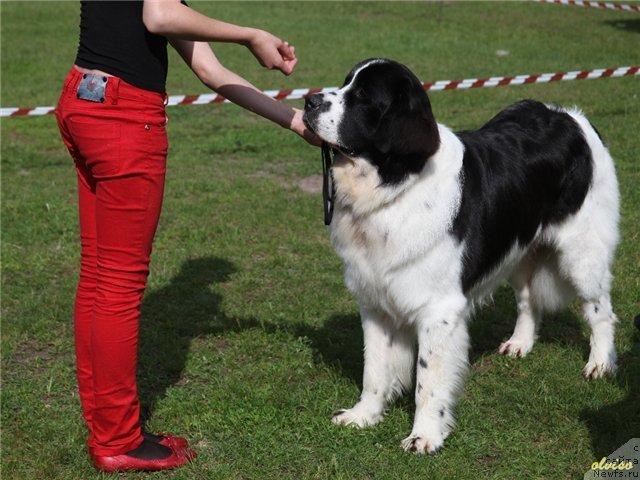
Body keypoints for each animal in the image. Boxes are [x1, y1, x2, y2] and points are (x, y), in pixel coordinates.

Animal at [304, 59, 620, 454]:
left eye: (363, 96)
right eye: (346, 84)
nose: (309, 101)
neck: (395, 185)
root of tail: (570, 117)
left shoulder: (438, 311)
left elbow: (428, 380)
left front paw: (424, 435)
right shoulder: (375, 301)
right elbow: (374, 367)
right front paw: (364, 415)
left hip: (582, 251)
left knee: (600, 311)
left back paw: (600, 364)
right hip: (518, 247)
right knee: (528, 298)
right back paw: (520, 344)